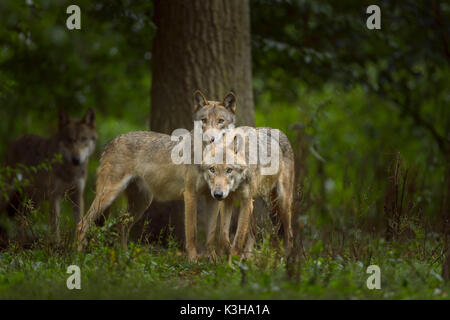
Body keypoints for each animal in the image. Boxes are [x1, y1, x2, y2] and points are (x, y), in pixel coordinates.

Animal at [76, 90, 239, 260]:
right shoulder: (190, 194)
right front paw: (193, 260)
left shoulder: (213, 197)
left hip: (142, 202)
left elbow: (211, 235)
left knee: (121, 223)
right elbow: (192, 233)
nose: (210, 138)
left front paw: (213, 260)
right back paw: (78, 255)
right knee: (83, 223)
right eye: (204, 120)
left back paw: (124, 256)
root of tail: (111, 141)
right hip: (109, 195)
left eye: (220, 121)